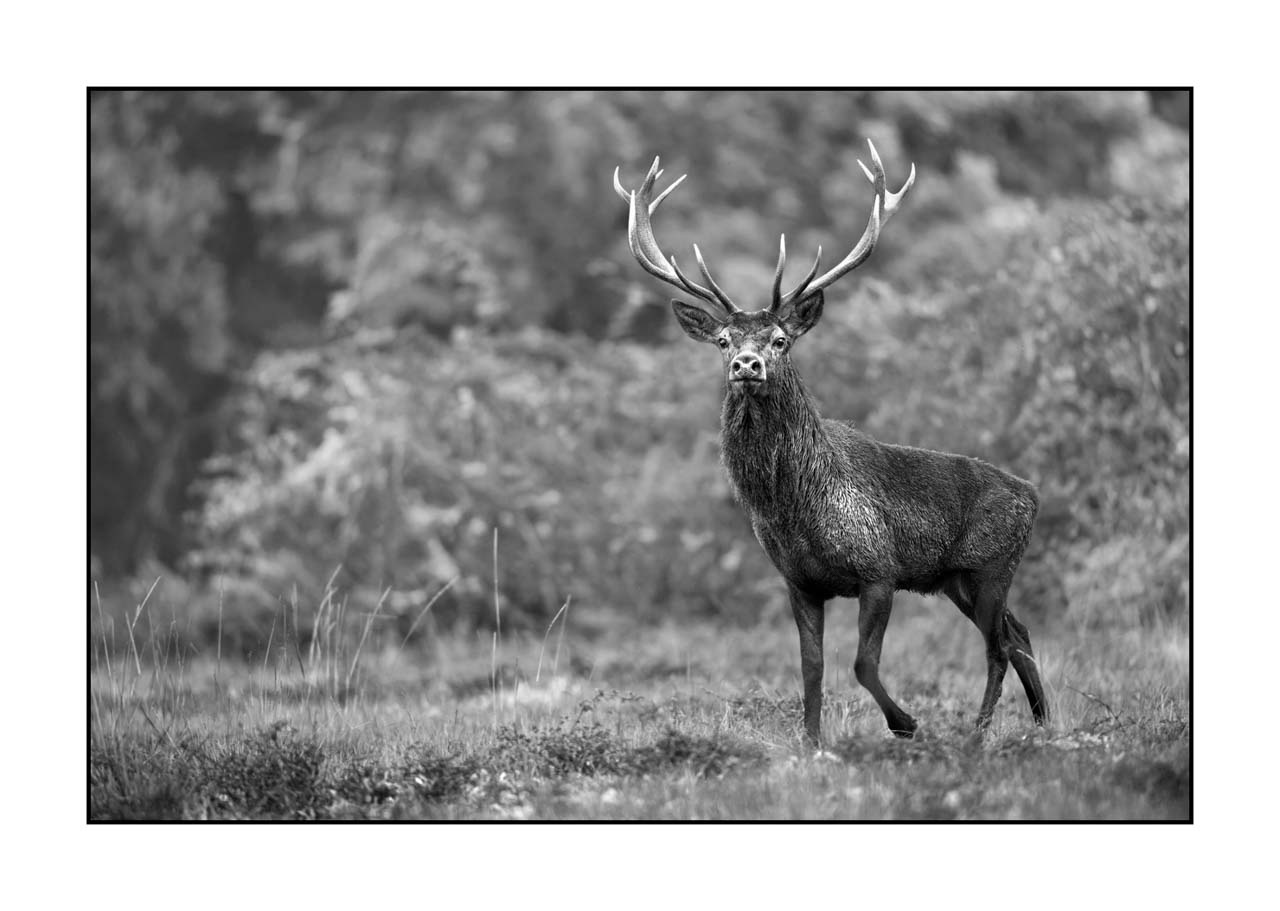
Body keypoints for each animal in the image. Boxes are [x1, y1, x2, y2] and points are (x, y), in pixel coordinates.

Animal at [614, 141, 1048, 745]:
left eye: (780, 340)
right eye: (723, 340)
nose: (746, 364)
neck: (793, 509)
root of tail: (1033, 494)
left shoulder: (879, 569)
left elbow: (862, 664)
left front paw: (905, 723)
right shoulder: (800, 582)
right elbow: (811, 668)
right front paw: (814, 742)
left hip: (991, 566)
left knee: (999, 645)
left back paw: (978, 732)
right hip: (958, 580)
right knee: (1021, 633)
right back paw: (1044, 723)